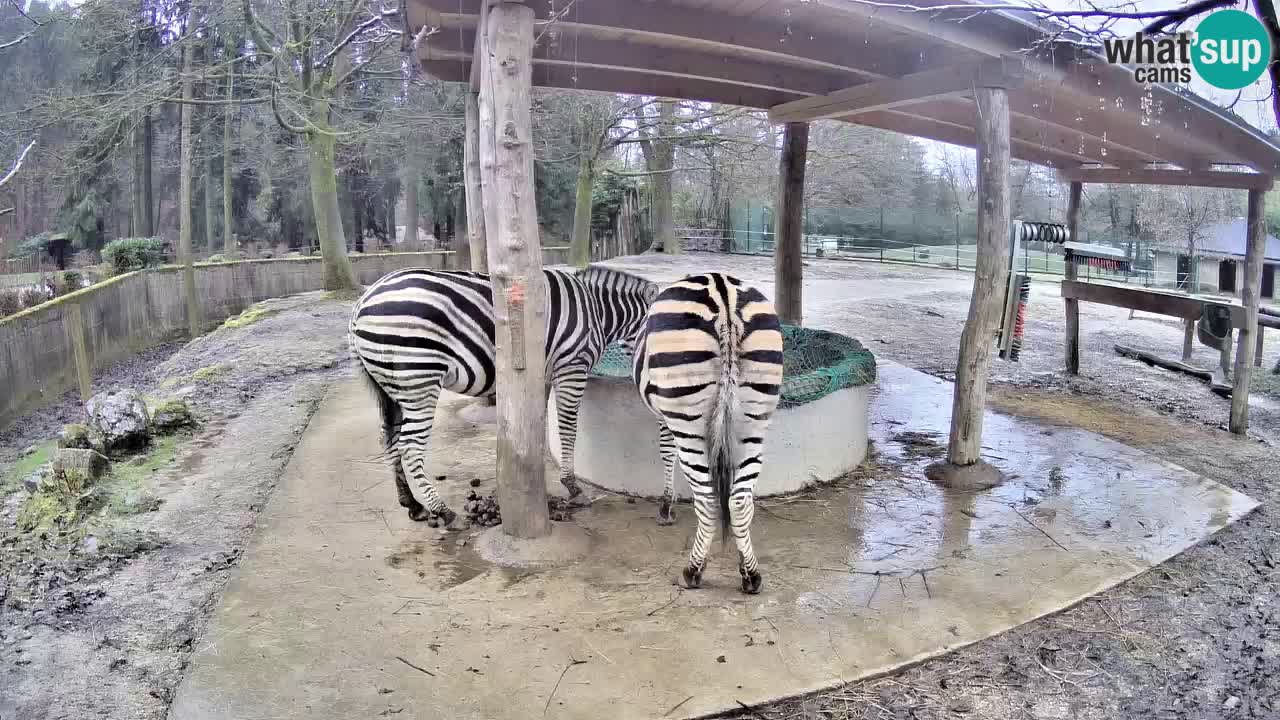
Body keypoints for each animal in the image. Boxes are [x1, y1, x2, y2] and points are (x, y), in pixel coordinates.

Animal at [350, 263, 660, 527]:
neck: (597, 310)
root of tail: (361, 303)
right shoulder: (572, 367)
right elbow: (568, 428)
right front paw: (572, 486)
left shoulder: (542, 375)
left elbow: (537, 423)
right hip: (419, 377)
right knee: (410, 446)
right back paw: (443, 511)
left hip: (390, 387)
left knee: (389, 439)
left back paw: (412, 504)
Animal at [632, 271, 783, 591]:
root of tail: (723, 293)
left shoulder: (666, 416)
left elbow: (666, 452)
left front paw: (666, 508)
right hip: (752, 422)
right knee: (740, 501)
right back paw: (750, 574)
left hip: (688, 418)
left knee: (708, 500)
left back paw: (693, 571)